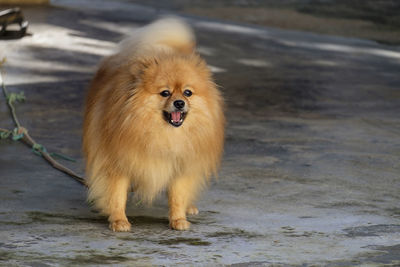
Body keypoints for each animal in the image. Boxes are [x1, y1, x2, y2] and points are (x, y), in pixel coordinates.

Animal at [83, 17, 225, 231]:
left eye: (188, 93)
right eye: (165, 93)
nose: (179, 103)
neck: (161, 133)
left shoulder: (181, 163)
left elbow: (177, 195)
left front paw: (178, 219)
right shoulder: (117, 161)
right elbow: (116, 194)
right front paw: (119, 220)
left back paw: (189, 207)